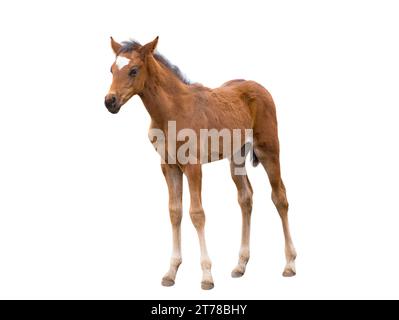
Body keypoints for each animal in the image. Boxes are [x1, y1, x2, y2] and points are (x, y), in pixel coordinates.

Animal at [104, 36, 298, 288]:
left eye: (133, 70)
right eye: (111, 70)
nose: (110, 101)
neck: (171, 112)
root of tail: (259, 87)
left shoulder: (193, 165)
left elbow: (197, 213)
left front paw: (206, 275)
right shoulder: (168, 166)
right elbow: (174, 212)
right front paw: (171, 272)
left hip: (268, 150)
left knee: (280, 197)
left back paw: (289, 264)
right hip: (236, 157)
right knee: (245, 197)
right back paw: (240, 265)